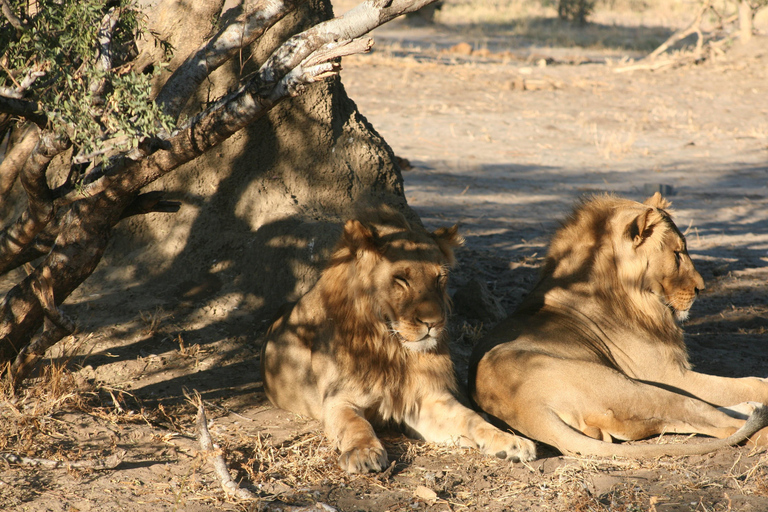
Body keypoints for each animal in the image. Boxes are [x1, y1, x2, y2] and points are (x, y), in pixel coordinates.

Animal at [260, 207, 536, 472]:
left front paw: (511, 442)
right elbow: (355, 424)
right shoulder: (338, 399)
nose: (434, 323)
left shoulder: (425, 399)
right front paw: (363, 453)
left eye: (439, 278)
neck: (391, 348)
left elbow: (469, 418)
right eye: (401, 280)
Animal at [468, 194, 768, 458]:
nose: (701, 288)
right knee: (719, 422)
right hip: (641, 389)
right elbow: (748, 382)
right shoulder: (670, 374)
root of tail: (528, 408)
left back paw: (751, 409)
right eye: (677, 253)